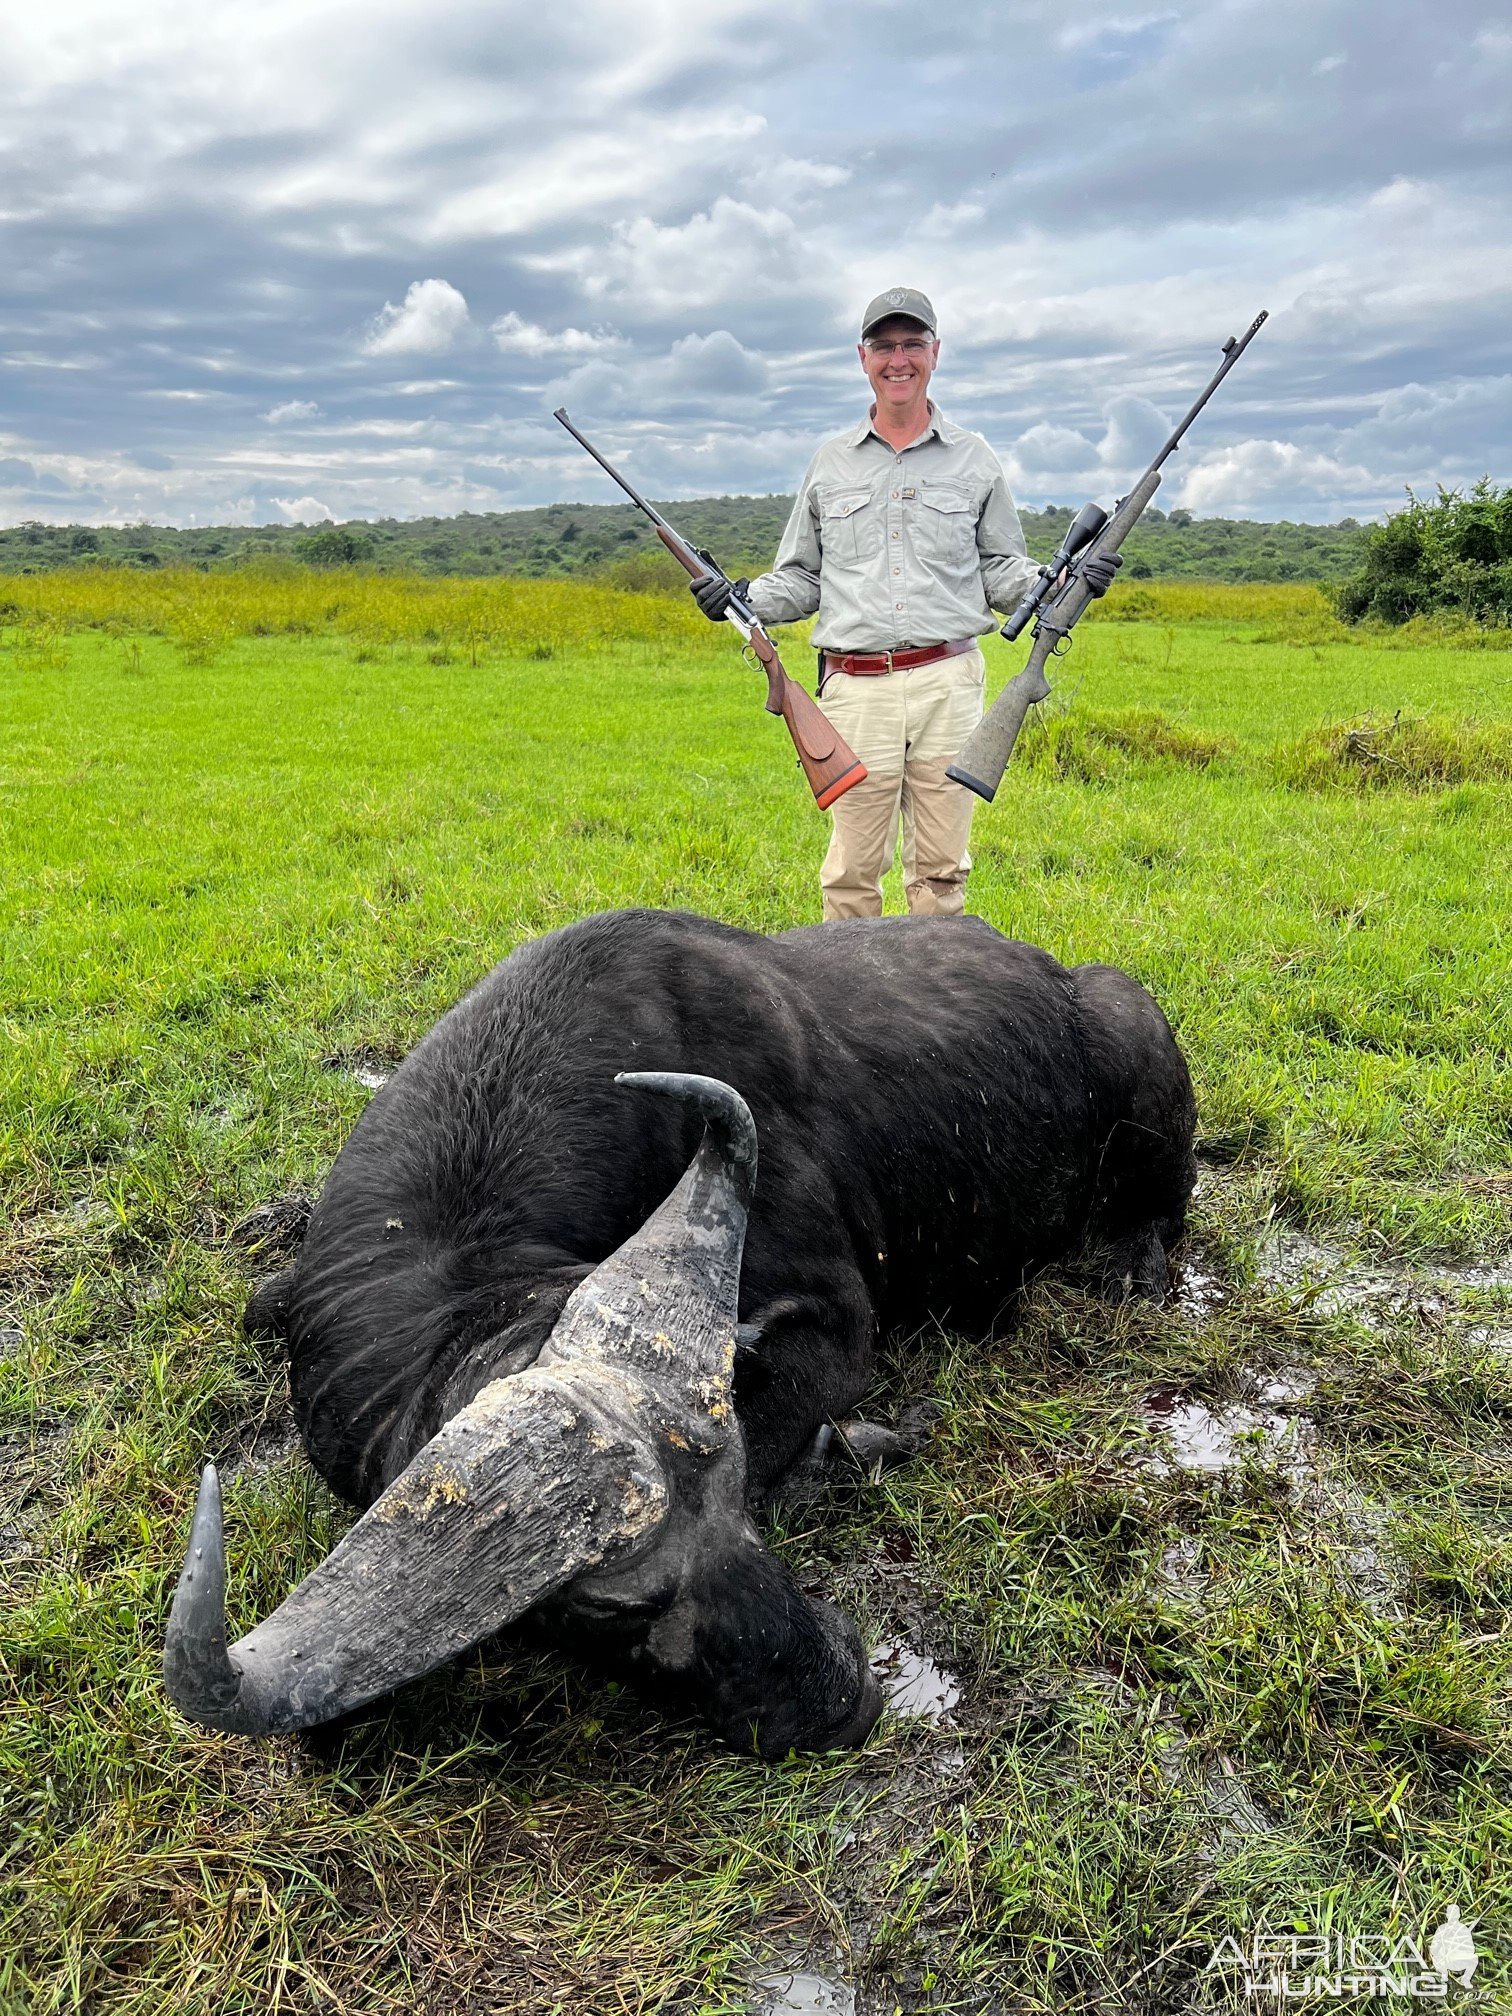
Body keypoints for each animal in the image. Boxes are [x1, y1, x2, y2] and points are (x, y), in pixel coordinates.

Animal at [165, 907, 1201, 1757]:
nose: (843, 1699)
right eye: (605, 1612)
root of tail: (1062, 976)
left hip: (1137, 1045)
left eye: (738, 1497)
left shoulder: (837, 1322)